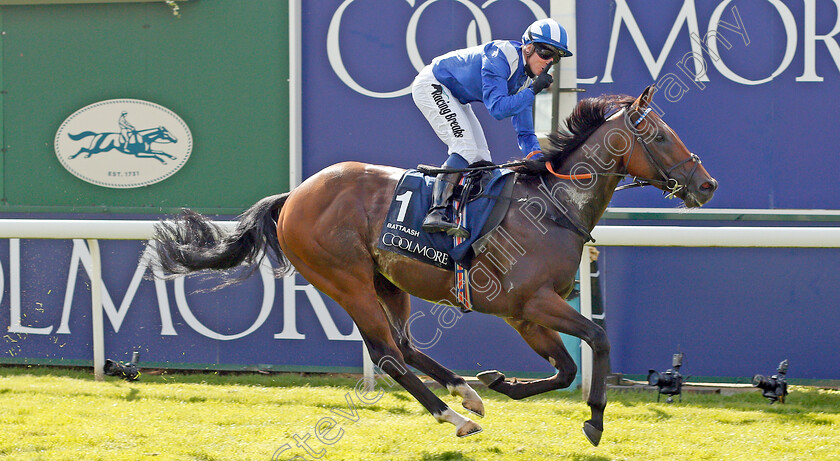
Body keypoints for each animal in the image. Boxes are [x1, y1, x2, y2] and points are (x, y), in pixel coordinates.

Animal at [149, 84, 716, 444]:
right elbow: (595, 341)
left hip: (387, 281)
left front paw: (500, 382)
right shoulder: (532, 303)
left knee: (403, 345)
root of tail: (294, 197)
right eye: (659, 137)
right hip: (346, 281)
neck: (552, 206)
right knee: (386, 355)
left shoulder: (525, 314)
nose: (706, 184)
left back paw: (466, 393)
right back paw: (453, 415)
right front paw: (595, 420)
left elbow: (565, 367)